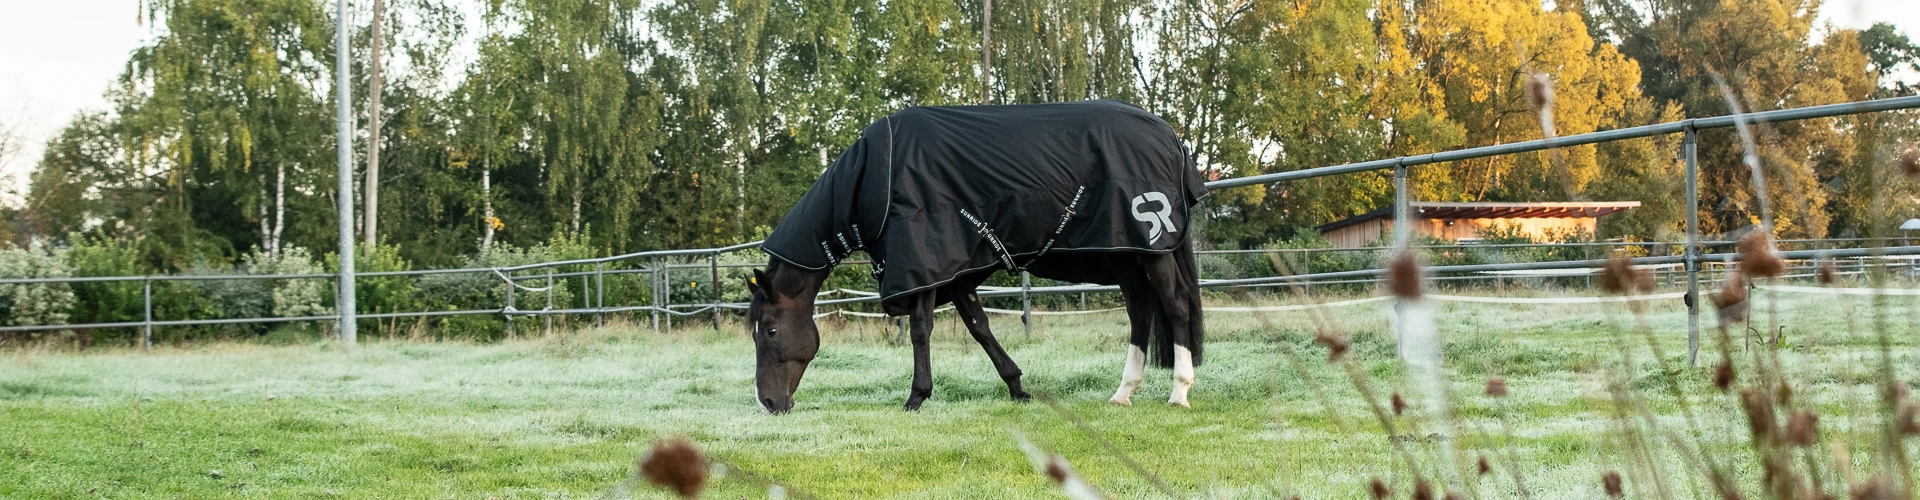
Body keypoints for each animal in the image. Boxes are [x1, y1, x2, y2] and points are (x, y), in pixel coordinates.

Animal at [745, 100, 1206, 413]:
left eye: (769, 330)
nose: (769, 402)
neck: (878, 177)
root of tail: (1170, 135)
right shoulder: (956, 272)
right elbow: (979, 327)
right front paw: (1017, 388)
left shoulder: (924, 266)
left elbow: (922, 330)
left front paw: (916, 397)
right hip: (1128, 253)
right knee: (1140, 313)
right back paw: (1123, 392)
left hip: (1152, 248)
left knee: (1175, 305)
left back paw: (1179, 390)